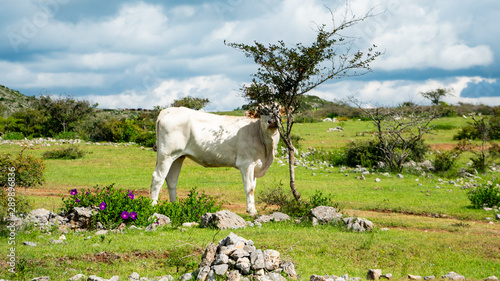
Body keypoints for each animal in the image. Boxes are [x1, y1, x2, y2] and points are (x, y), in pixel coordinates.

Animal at [150, 105, 280, 214]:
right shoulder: (246, 164)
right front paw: (251, 210)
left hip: (178, 157)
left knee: (172, 180)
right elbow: (249, 188)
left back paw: (175, 206)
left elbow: (253, 186)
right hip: (166, 155)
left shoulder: (255, 165)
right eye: (262, 111)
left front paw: (252, 208)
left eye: (278, 110)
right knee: (158, 178)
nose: (272, 121)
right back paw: (153, 206)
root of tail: (171, 109)